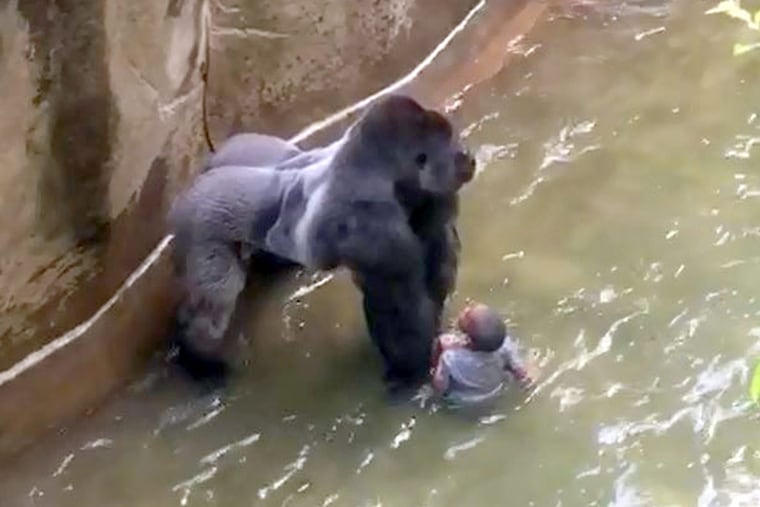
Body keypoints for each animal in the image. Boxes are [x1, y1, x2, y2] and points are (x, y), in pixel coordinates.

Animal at [168, 94, 475, 385]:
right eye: (451, 146)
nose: (468, 158)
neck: (384, 170)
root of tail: (192, 186)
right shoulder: (370, 223)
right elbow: (398, 300)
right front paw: (410, 371)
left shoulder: (431, 198)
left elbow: (435, 263)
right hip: (200, 229)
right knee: (215, 298)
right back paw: (198, 360)